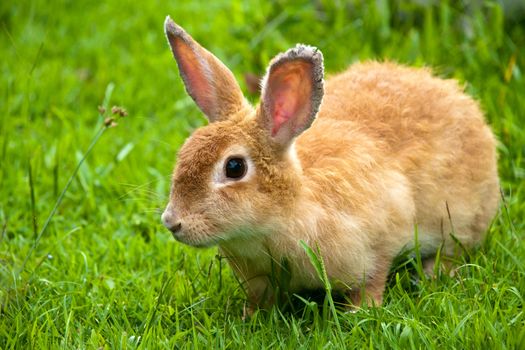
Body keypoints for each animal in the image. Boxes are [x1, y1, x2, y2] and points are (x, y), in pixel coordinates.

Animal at [161, 17, 500, 312]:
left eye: (234, 168)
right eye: (184, 153)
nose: (172, 222)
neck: (289, 209)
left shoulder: (377, 243)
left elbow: (373, 280)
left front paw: (360, 312)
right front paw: (251, 315)